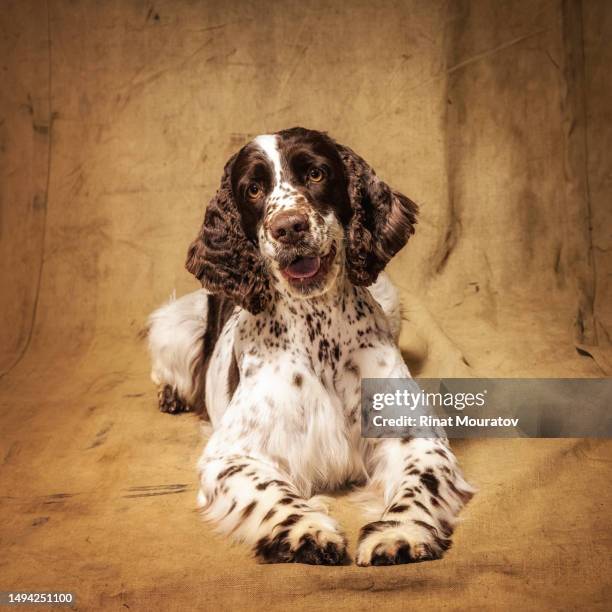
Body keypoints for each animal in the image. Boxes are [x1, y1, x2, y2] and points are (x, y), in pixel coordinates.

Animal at [148, 126, 474, 568]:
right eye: (253, 189)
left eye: (316, 173)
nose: (289, 226)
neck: (320, 335)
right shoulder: (233, 455)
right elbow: (270, 492)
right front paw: (307, 531)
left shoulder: (416, 440)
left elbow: (418, 484)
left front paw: (399, 533)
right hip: (177, 326)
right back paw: (170, 394)